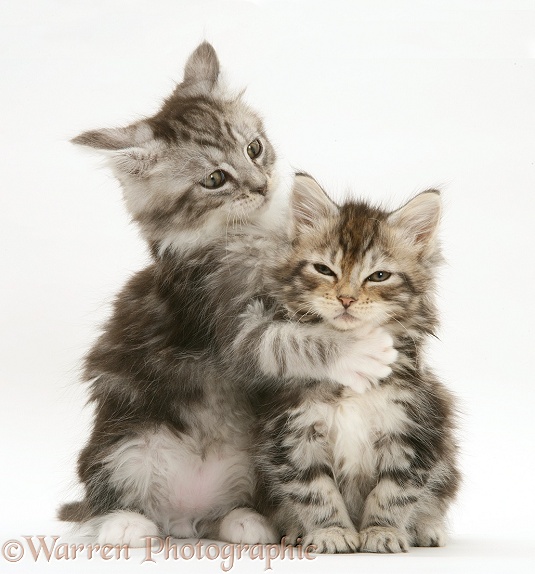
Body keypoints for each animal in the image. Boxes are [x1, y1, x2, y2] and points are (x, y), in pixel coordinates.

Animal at [251, 176, 460, 552]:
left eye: (379, 276)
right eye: (324, 269)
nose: (346, 298)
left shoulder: (414, 428)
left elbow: (394, 491)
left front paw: (382, 532)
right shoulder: (293, 431)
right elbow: (315, 491)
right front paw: (331, 532)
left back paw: (427, 529)